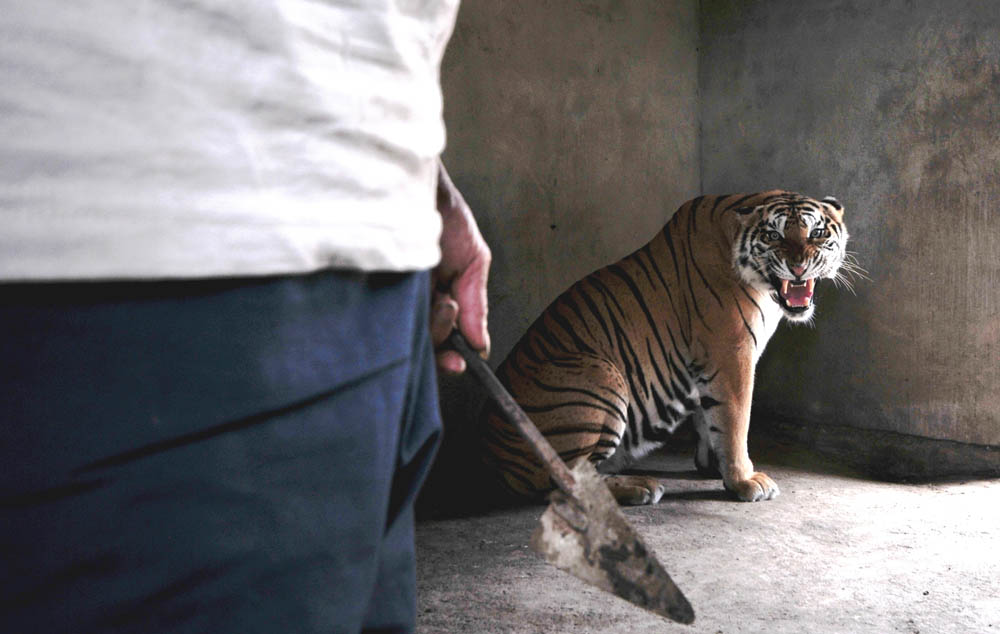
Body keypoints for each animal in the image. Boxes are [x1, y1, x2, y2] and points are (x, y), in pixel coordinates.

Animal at [481, 191, 850, 505]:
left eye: (817, 232)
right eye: (774, 236)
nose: (798, 267)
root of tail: (492, 453)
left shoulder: (710, 362)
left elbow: (710, 415)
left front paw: (714, 466)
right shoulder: (732, 351)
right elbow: (735, 419)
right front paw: (744, 480)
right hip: (601, 374)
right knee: (567, 480)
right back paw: (640, 487)